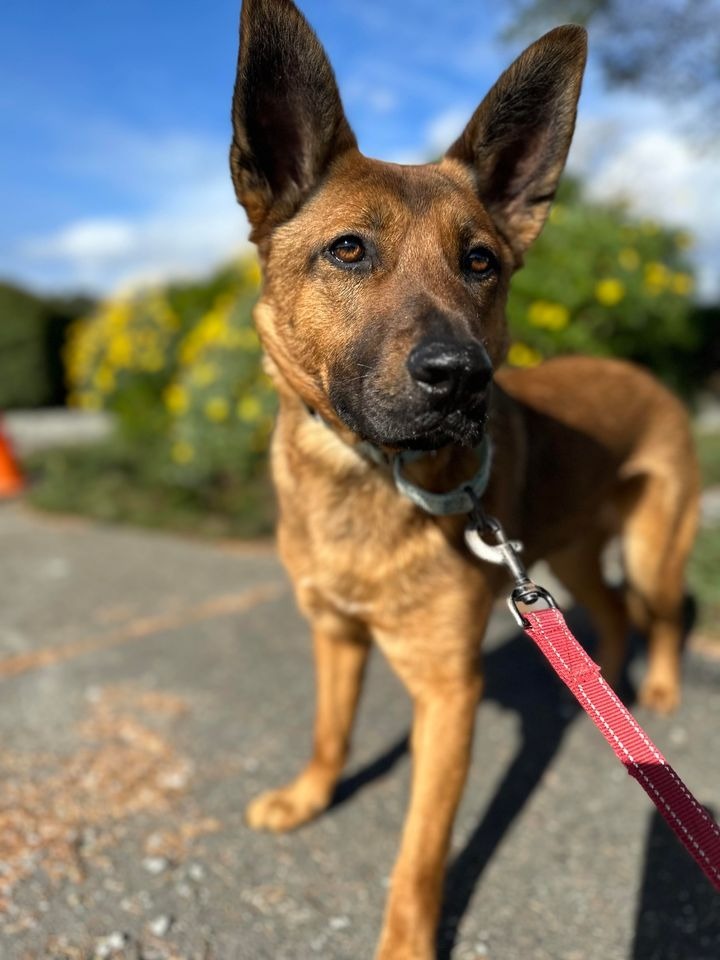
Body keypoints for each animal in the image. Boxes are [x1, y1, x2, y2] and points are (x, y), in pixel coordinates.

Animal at [229, 3, 696, 956]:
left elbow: (420, 851)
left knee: (660, 613)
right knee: (616, 613)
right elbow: (331, 732)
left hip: (652, 546)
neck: (370, 479)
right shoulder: (335, 636)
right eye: (348, 250)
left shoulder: (448, 694)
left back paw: (659, 687)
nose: (463, 380)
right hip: (573, 555)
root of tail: (649, 376)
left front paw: (405, 941)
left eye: (481, 262)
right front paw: (309, 796)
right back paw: (608, 692)